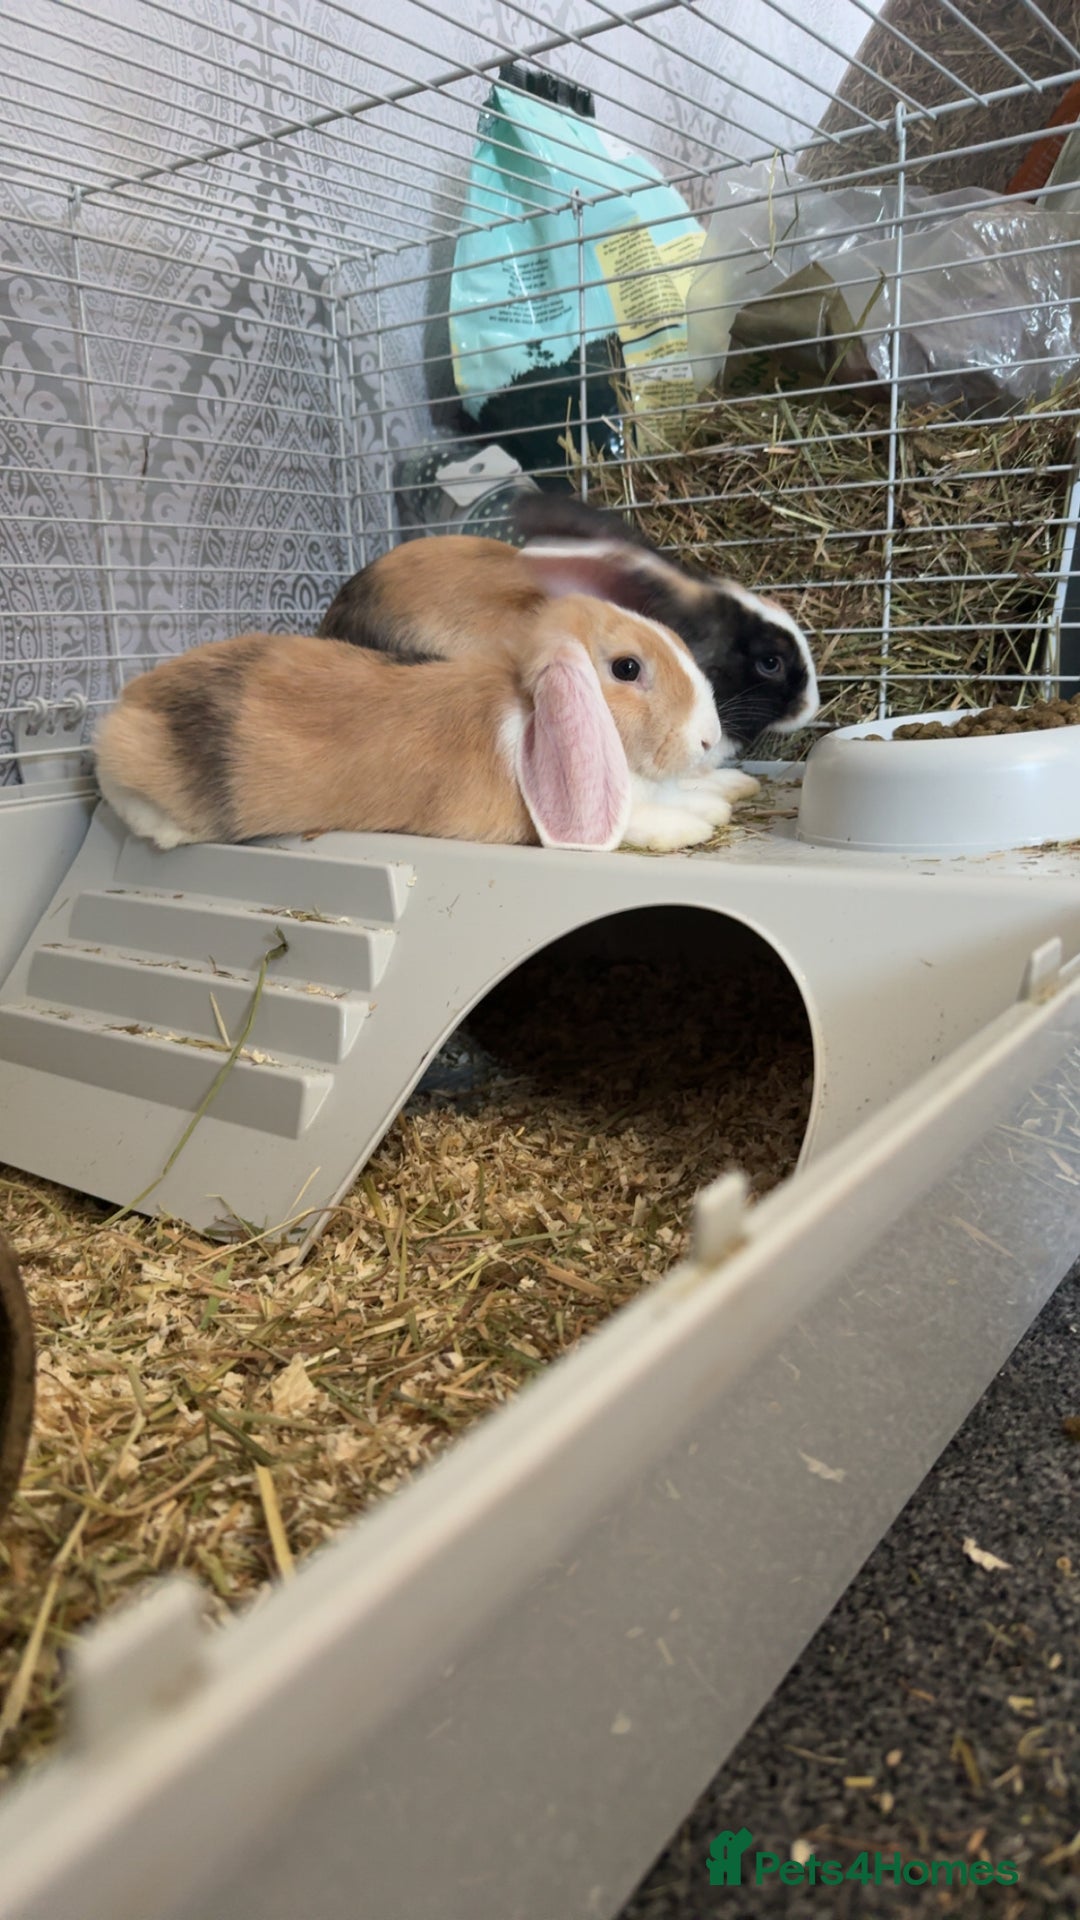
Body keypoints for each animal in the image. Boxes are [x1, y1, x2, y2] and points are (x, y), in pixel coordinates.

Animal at [94, 595, 739, 857]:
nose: (710, 738)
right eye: (627, 668)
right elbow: (636, 817)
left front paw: (728, 790)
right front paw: (697, 823)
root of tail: (122, 712)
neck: (526, 709)